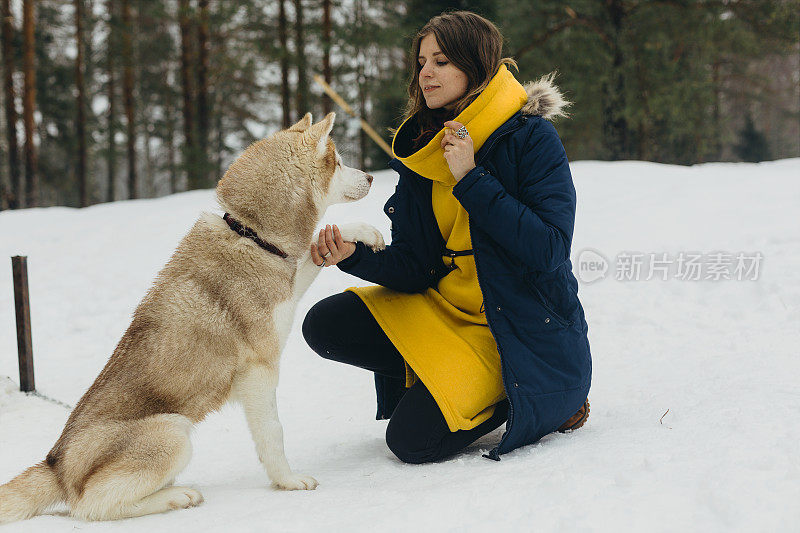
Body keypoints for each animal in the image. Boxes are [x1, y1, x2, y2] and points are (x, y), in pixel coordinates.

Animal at [0, 112, 388, 520]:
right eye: (339, 162)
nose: (371, 177)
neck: (252, 234)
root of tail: (55, 464)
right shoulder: (260, 372)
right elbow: (274, 433)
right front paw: (289, 481)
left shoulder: (288, 281)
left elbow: (319, 244)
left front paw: (363, 232)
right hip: (174, 431)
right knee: (92, 506)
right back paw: (177, 497)